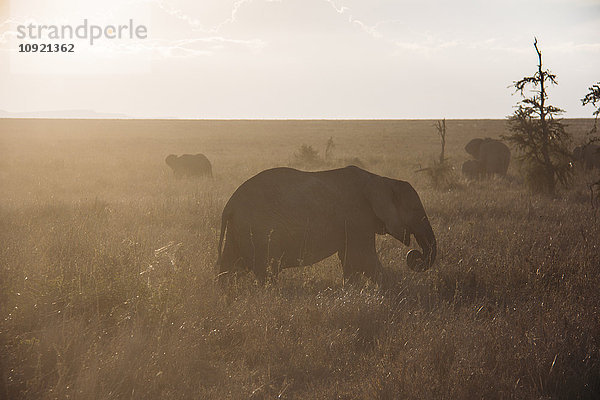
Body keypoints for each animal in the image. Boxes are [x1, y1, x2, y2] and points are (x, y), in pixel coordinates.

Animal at [216, 166, 436, 284]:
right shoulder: (358, 217)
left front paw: (350, 291)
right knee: (267, 269)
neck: (382, 180)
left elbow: (350, 259)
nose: (415, 256)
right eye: (416, 211)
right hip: (258, 230)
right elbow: (363, 258)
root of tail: (230, 205)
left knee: (230, 266)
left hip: (239, 230)